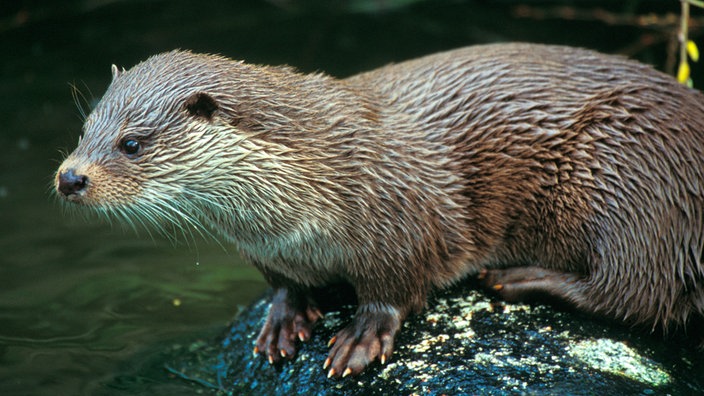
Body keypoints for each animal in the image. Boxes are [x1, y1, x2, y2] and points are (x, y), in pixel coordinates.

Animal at [55, 42, 704, 378]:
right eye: (85, 130)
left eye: (131, 144)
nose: (69, 177)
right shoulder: (270, 251)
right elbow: (283, 285)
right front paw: (283, 318)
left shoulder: (401, 221)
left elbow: (396, 289)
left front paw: (361, 336)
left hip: (632, 181)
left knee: (638, 292)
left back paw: (518, 278)